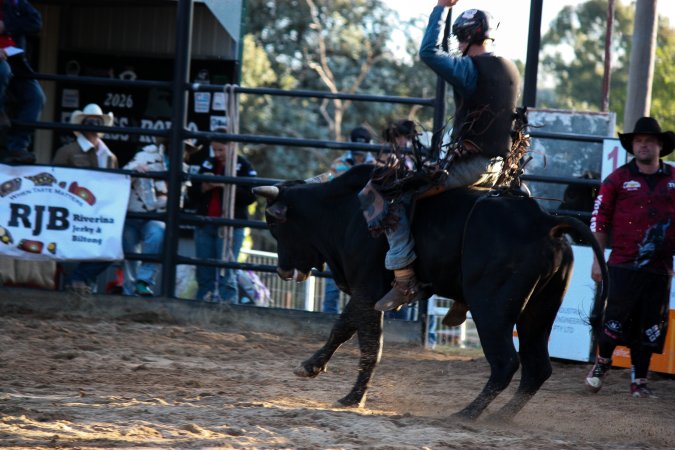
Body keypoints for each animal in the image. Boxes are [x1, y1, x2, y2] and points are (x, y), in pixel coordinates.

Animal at [253, 163, 608, 421]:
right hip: (539, 312)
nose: (282, 271)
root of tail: (545, 223)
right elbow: (346, 329)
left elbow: (366, 343)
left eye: (273, 222)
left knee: (506, 363)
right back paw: (500, 417)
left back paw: (467, 413)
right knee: (537, 369)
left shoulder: (366, 286)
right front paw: (318, 371)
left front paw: (350, 395)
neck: (344, 209)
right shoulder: (372, 292)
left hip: (491, 309)